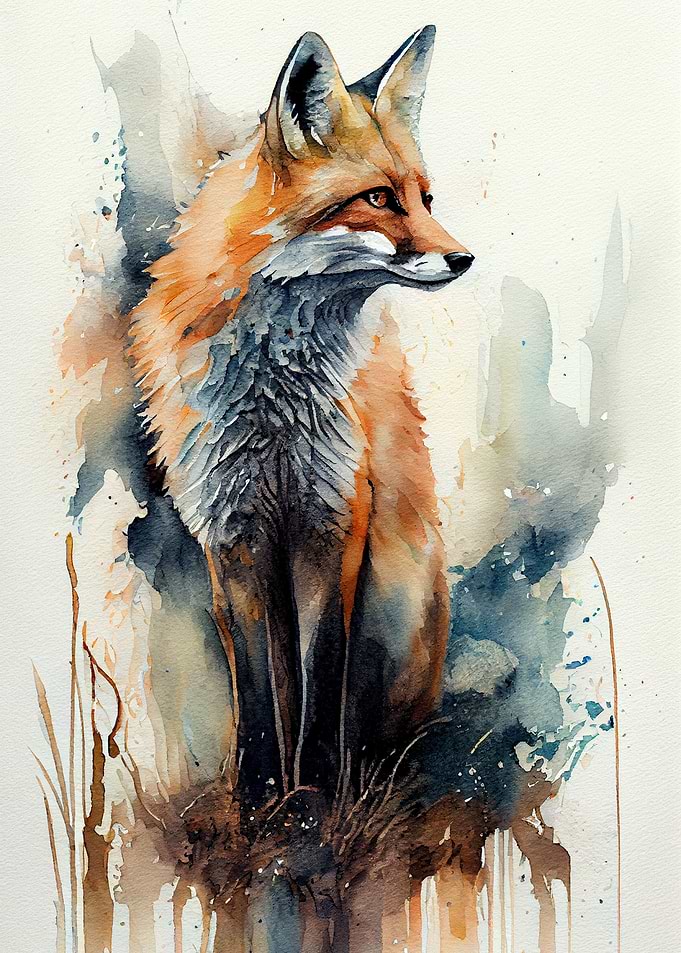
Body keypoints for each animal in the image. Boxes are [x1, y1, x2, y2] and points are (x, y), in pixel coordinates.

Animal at [129, 25, 474, 807]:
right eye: (378, 198)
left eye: (425, 197)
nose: (464, 257)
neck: (273, 405)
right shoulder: (232, 532)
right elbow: (260, 693)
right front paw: (260, 798)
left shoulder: (333, 518)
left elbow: (322, 679)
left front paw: (313, 800)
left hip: (398, 600)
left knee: (387, 730)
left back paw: (372, 778)